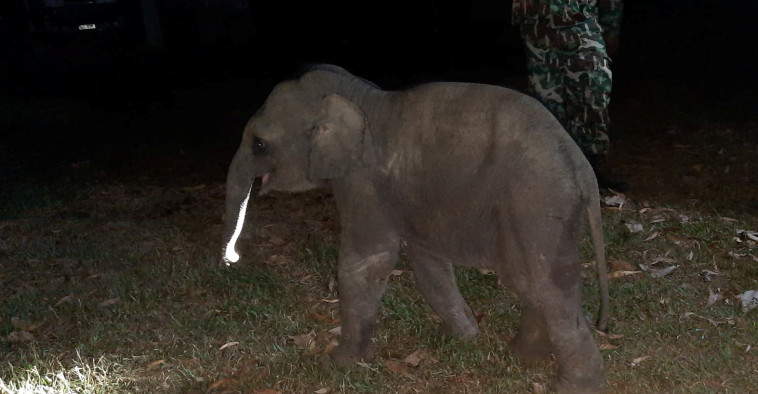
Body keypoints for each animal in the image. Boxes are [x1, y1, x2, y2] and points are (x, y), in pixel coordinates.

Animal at [220, 63, 612, 390]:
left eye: (259, 143)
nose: (231, 258)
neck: (358, 95)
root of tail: (583, 167)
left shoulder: (363, 182)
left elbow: (366, 262)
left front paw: (337, 365)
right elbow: (427, 262)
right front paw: (465, 338)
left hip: (535, 202)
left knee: (543, 283)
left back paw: (573, 385)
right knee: (533, 279)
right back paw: (521, 354)